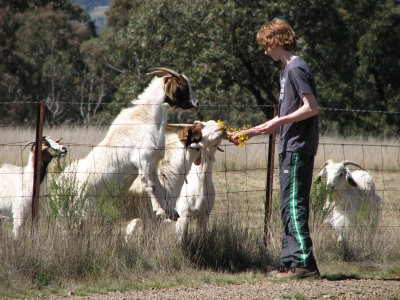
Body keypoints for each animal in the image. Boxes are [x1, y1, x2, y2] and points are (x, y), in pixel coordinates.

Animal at [57, 68, 198, 220]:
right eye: (183, 86)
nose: (196, 103)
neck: (146, 118)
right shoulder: (144, 160)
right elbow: (151, 186)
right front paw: (160, 211)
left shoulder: (152, 164)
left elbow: (160, 188)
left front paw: (171, 212)